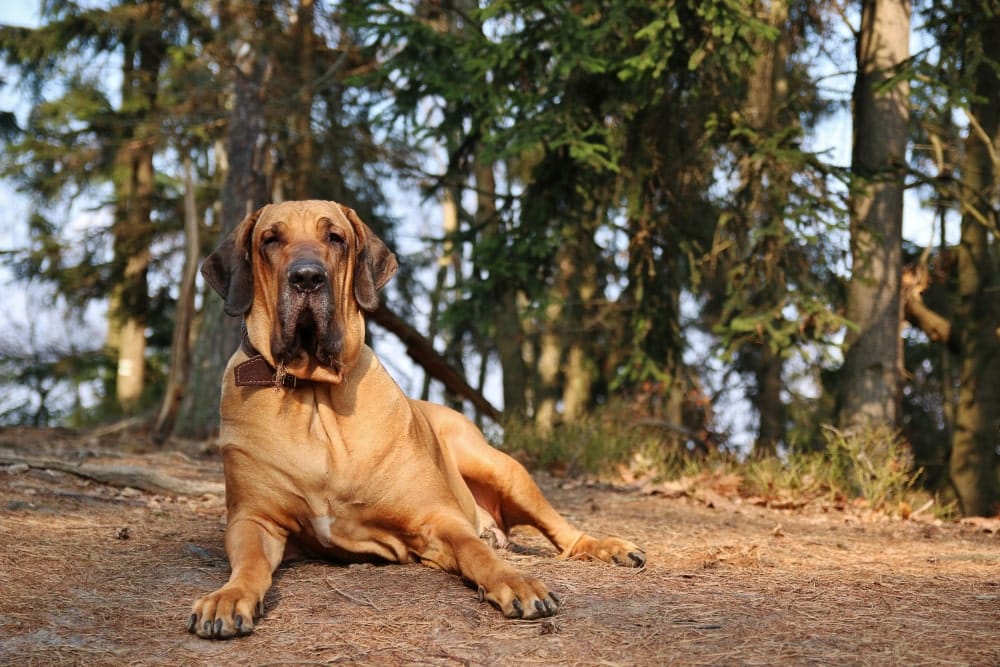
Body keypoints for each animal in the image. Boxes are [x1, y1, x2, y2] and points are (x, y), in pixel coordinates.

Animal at [188, 201, 644, 640]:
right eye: (270, 239)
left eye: (335, 237)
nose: (306, 278)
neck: (314, 394)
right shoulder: (253, 520)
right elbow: (249, 562)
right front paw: (228, 597)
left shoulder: (436, 518)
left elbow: (477, 552)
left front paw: (515, 581)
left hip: (499, 466)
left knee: (563, 531)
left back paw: (609, 547)